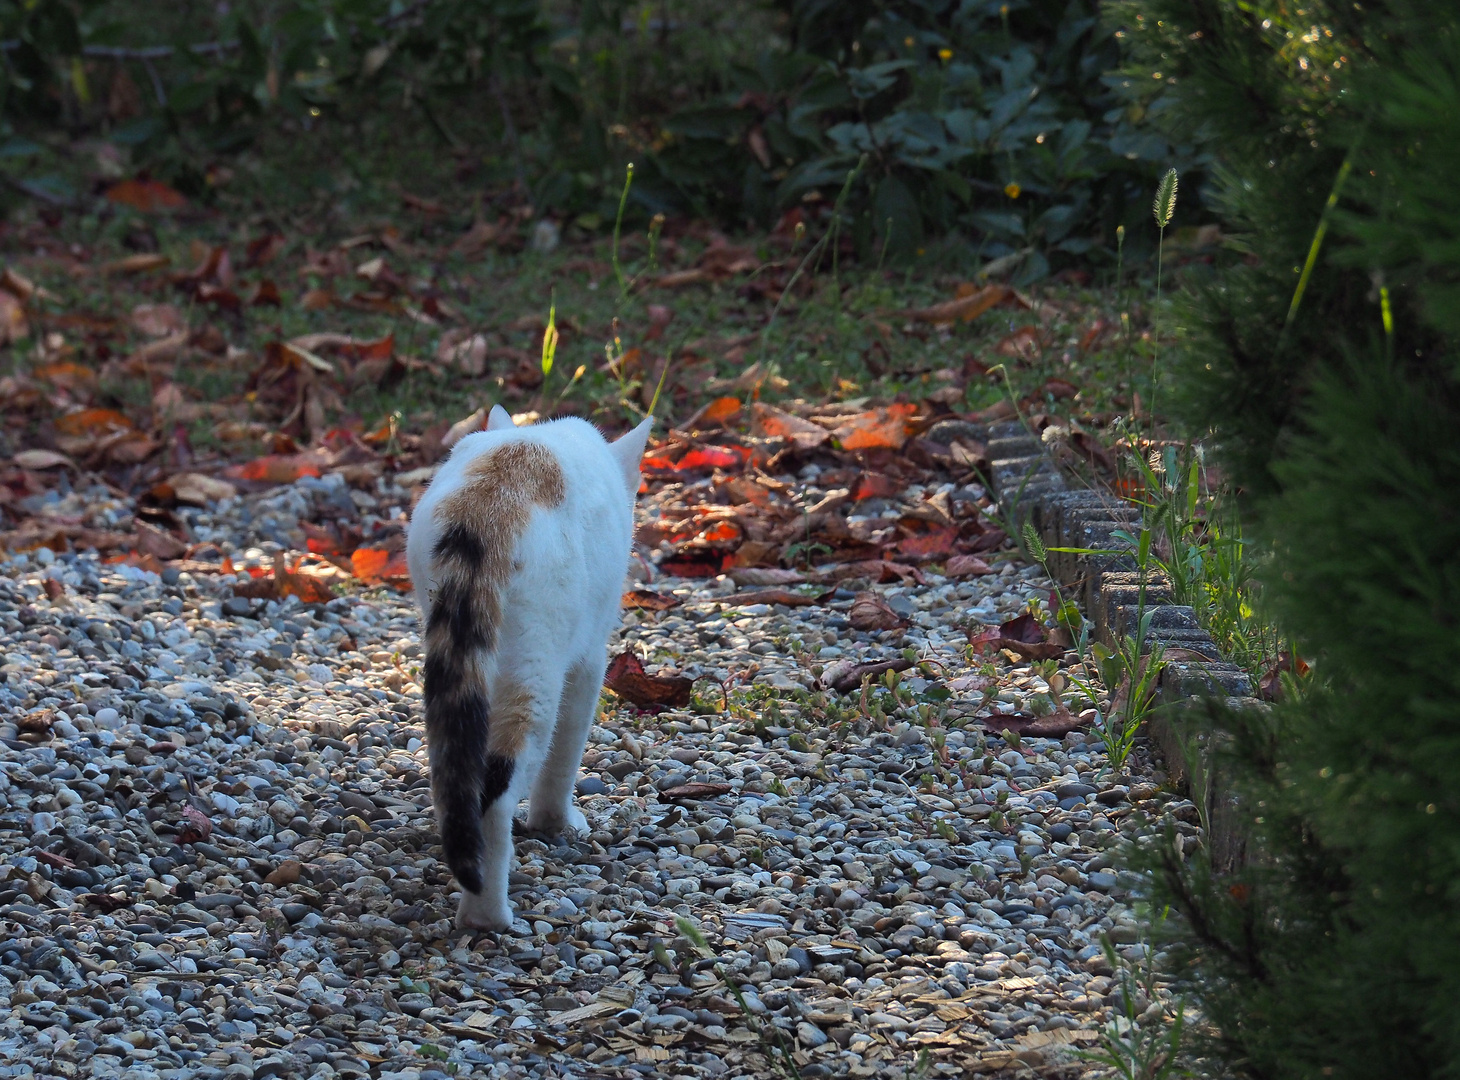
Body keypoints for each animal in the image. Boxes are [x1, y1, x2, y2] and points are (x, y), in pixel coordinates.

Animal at [402, 405, 648, 928]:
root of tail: (489, 505)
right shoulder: (589, 656)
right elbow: (567, 751)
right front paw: (555, 822)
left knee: (452, 768)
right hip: (536, 667)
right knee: (496, 787)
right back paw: (487, 915)